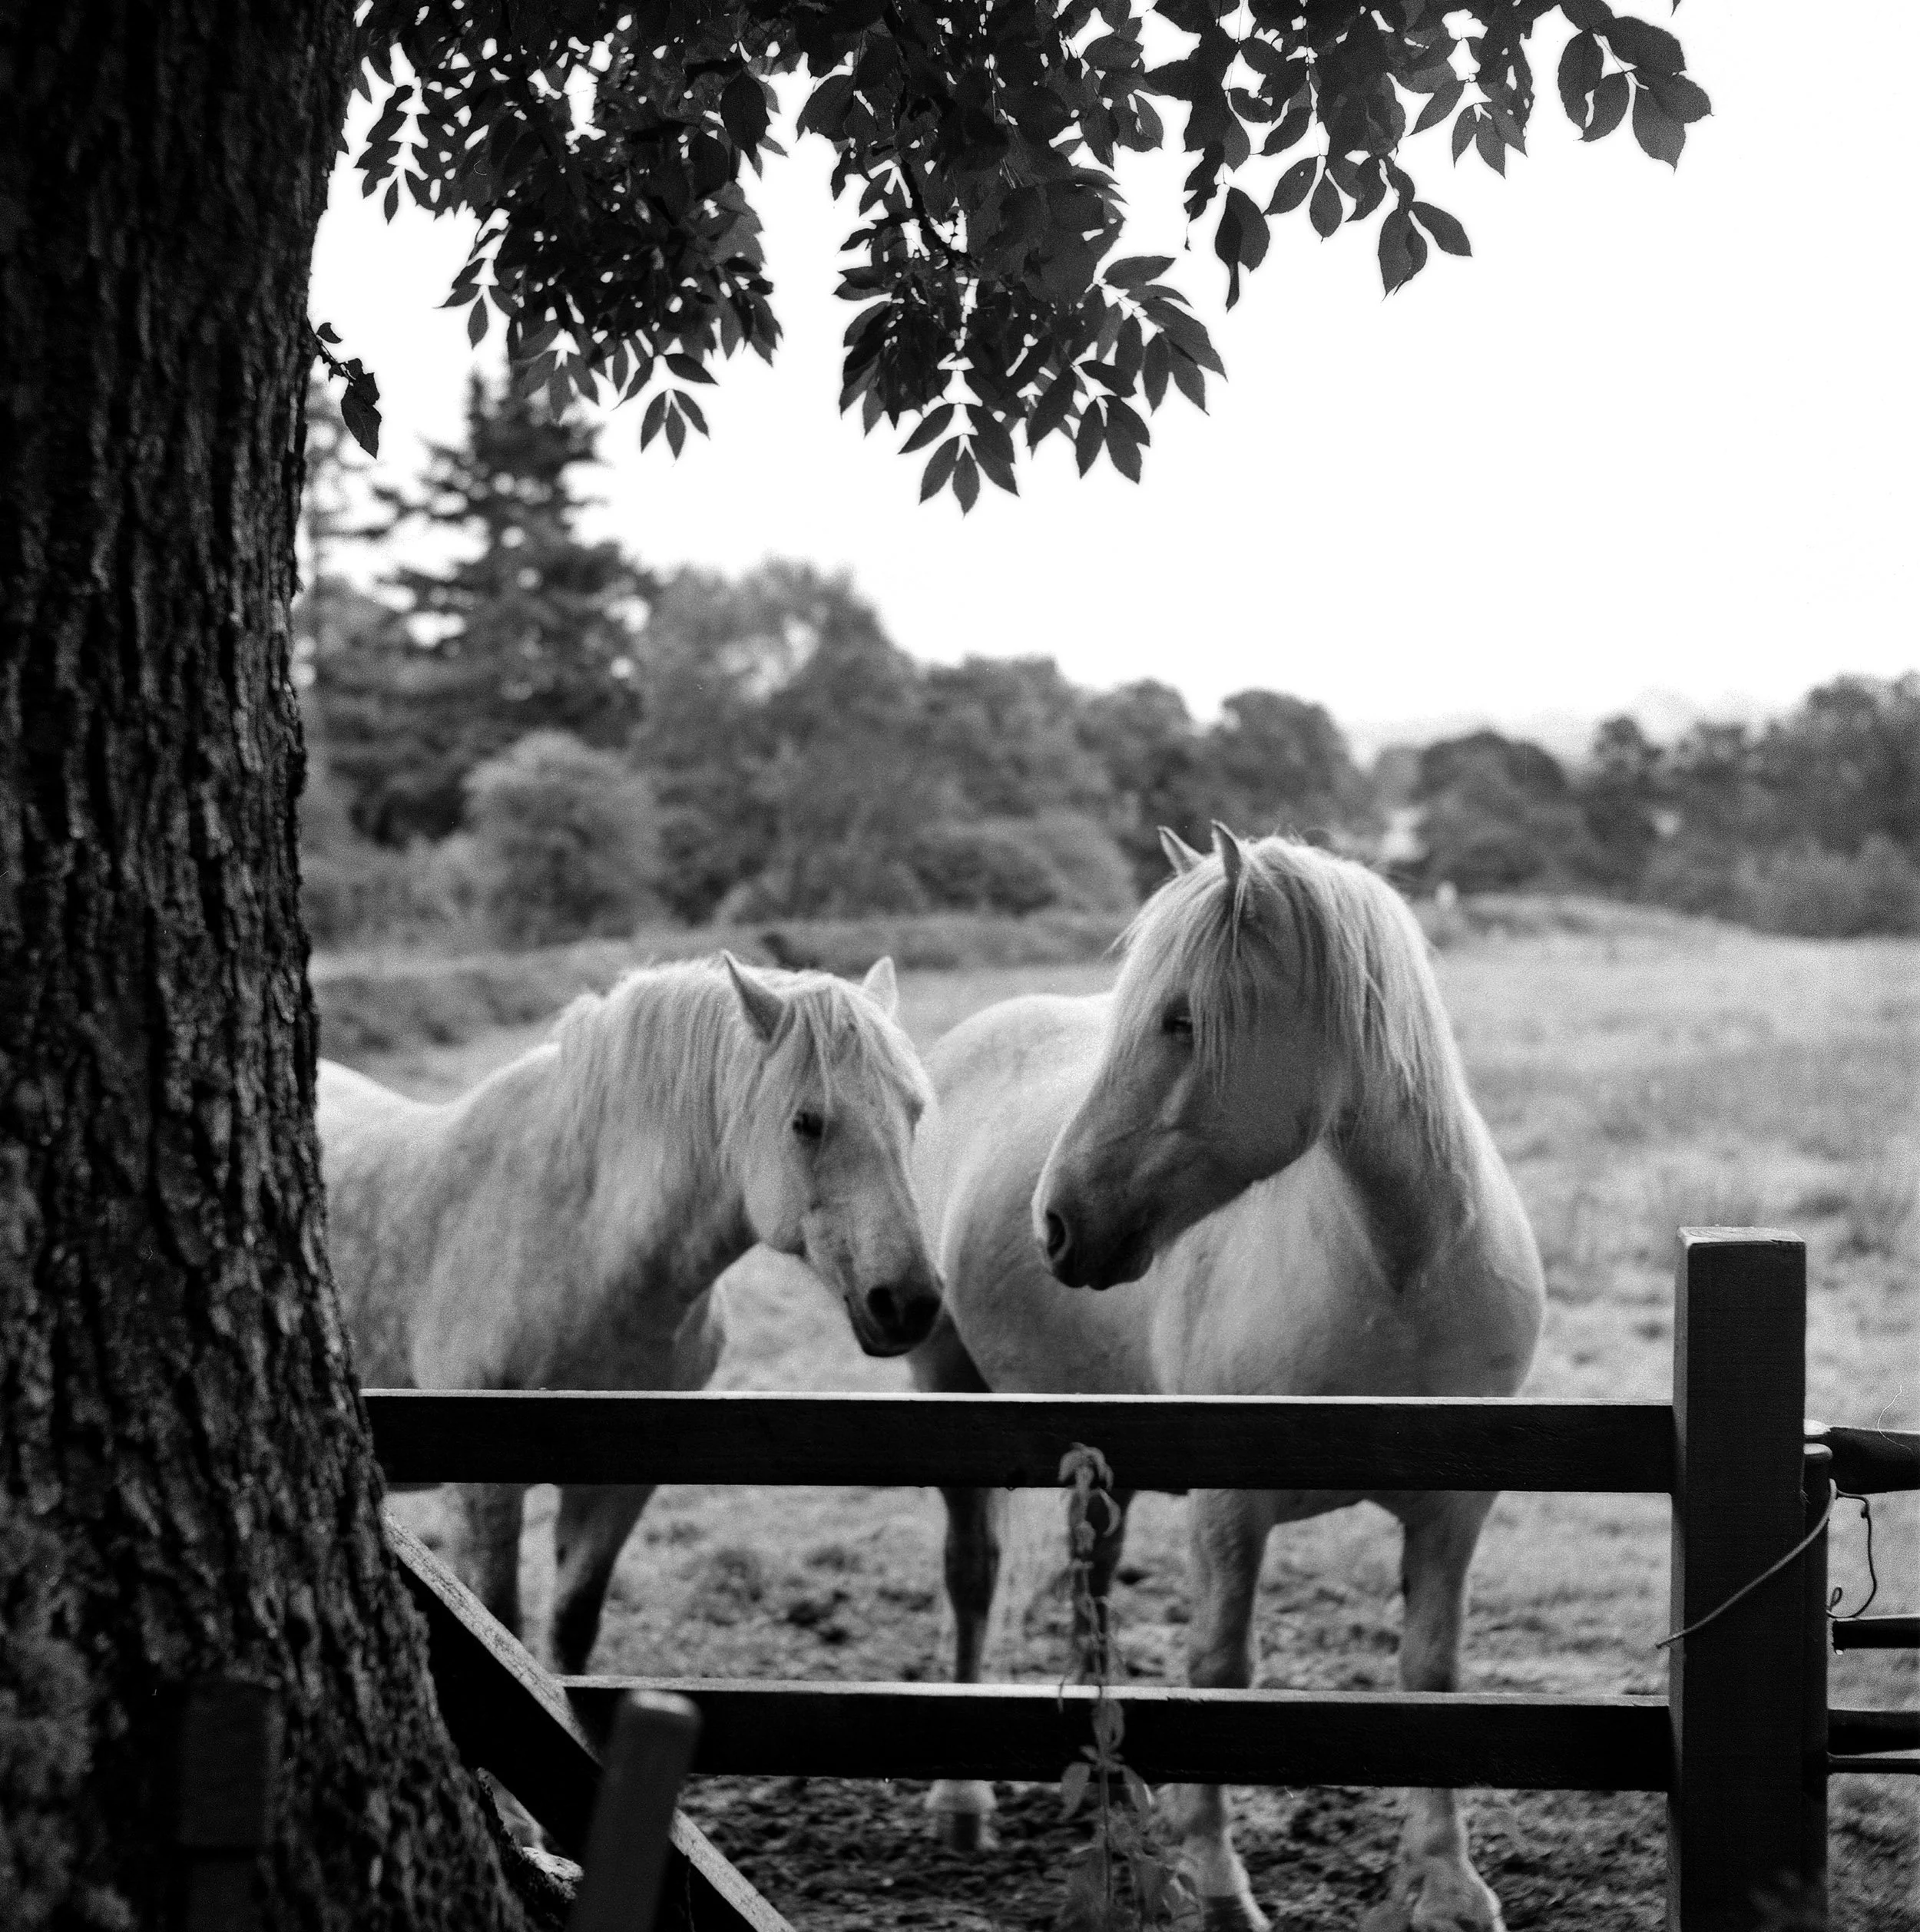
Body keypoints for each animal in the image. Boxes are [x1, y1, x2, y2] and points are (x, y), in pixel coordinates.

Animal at [320, 952, 942, 1672]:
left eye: (914, 1112)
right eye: (806, 1121)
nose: (910, 1302)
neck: (586, 1245)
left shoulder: (618, 1486)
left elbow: (571, 1624)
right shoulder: (481, 1495)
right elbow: (501, 1623)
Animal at [910, 828, 1545, 1932]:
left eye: (1180, 1019)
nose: (1056, 1223)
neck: (1400, 1273)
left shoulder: (1454, 1509)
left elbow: (1431, 1671)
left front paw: (1448, 1880)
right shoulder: (1228, 1507)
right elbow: (1218, 1672)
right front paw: (1214, 1882)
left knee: (1094, 1594)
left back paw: (1120, 1806)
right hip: (948, 1393)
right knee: (973, 1576)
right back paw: (963, 1801)